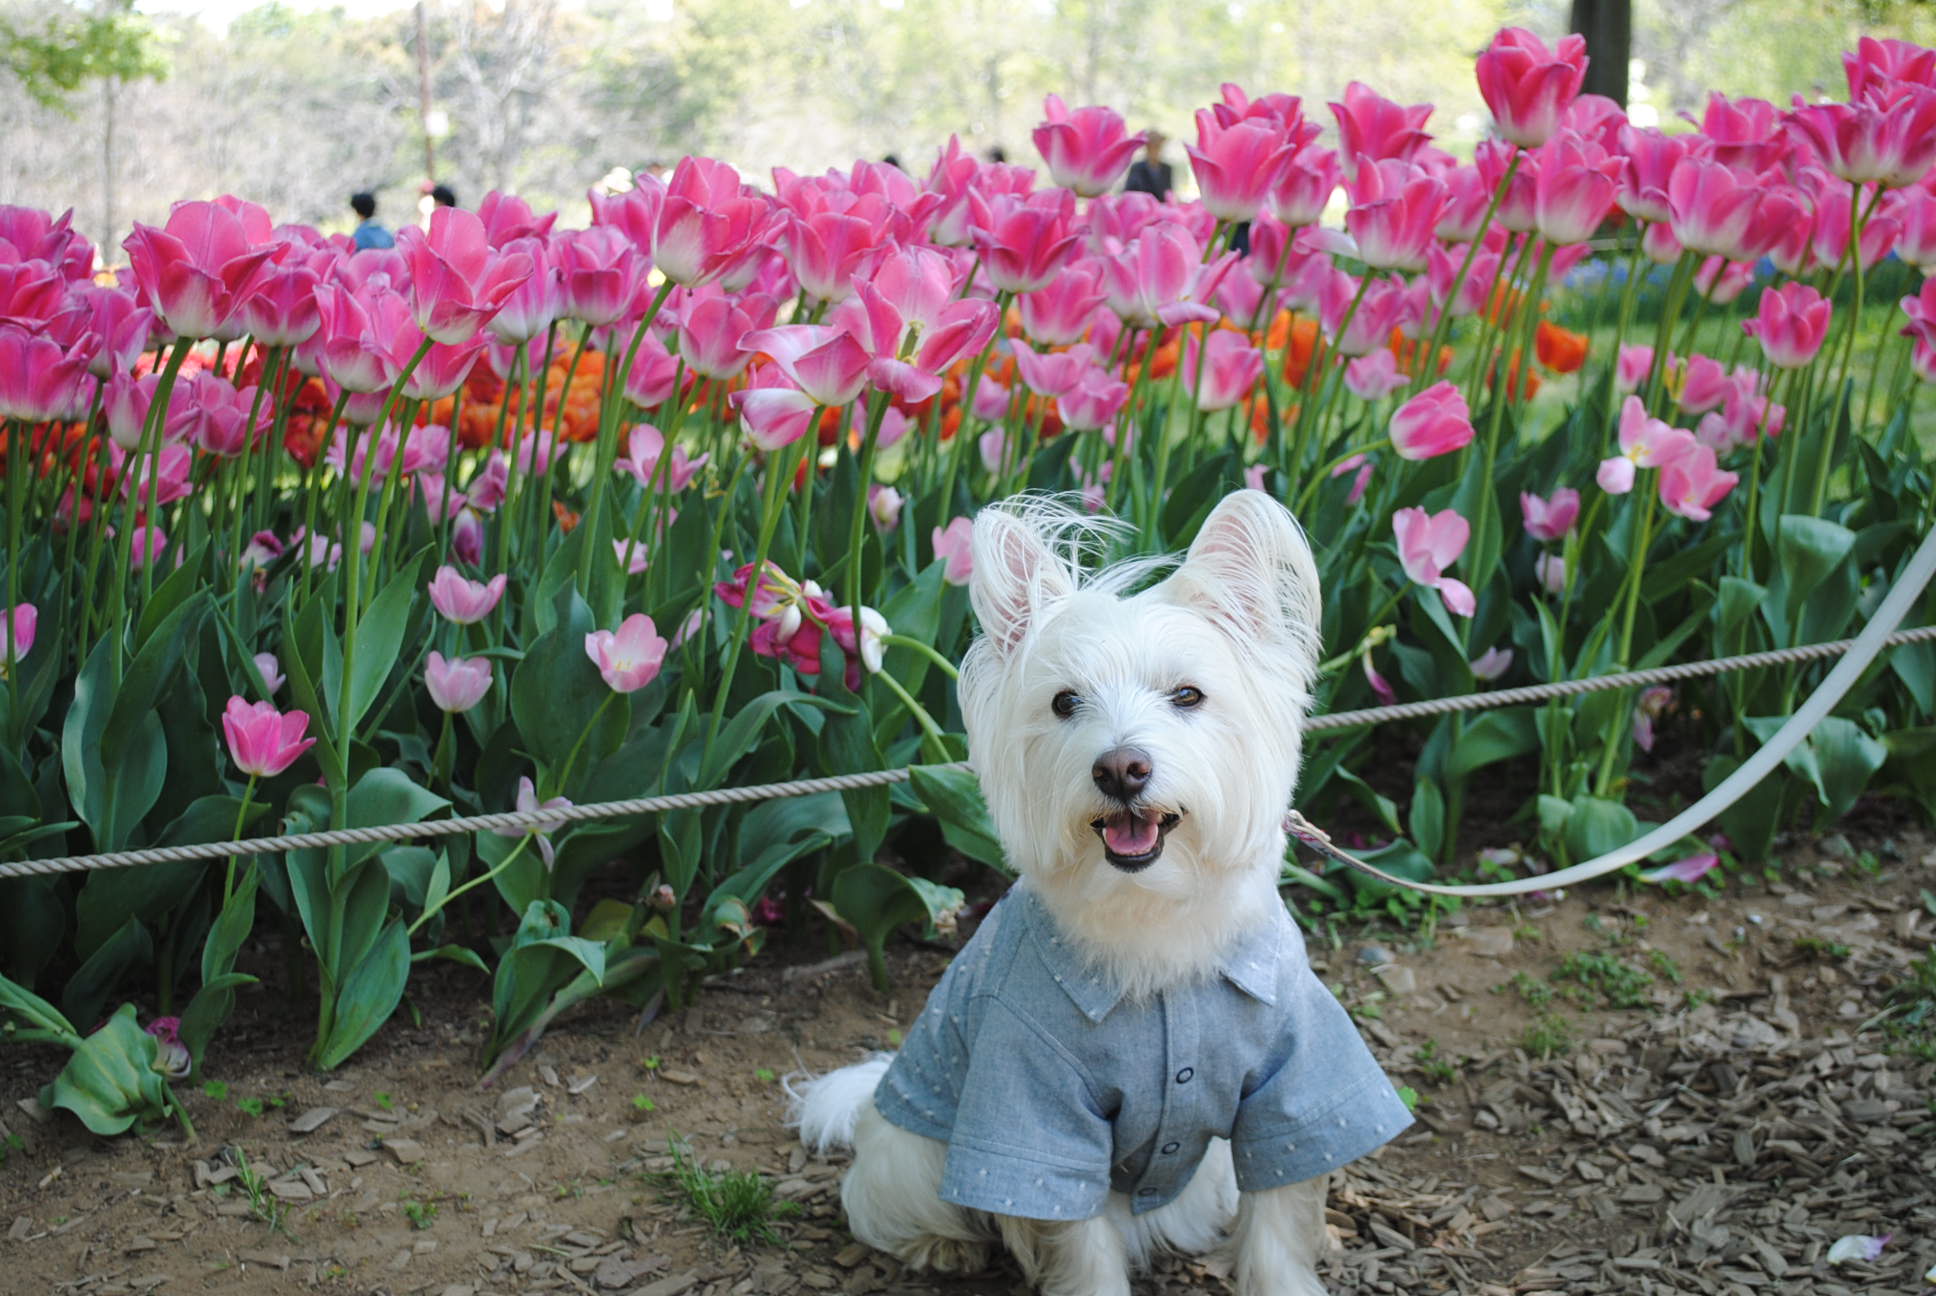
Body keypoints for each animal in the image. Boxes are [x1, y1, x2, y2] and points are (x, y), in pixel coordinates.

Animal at [786, 492, 1409, 1294]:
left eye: (1187, 695)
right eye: (1064, 702)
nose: (1120, 769)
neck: (1155, 919)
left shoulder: (1291, 1079)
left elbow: (1278, 1220)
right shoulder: (1035, 1106)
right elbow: (1078, 1240)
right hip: (916, 1152)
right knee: (894, 1204)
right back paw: (942, 1246)